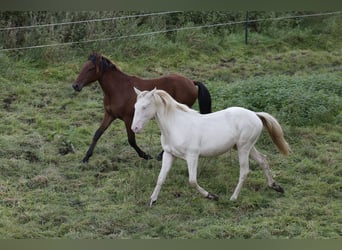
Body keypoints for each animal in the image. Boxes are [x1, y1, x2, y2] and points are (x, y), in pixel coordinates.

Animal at [72, 52, 211, 163]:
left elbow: (131, 140)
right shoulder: (110, 115)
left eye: (90, 68)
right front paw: (86, 158)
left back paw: (160, 155)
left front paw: (145, 155)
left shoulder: (128, 118)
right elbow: (97, 134)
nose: (75, 85)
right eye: (83, 67)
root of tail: (191, 82)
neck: (117, 89)